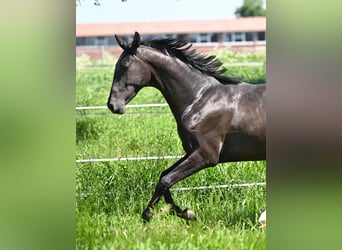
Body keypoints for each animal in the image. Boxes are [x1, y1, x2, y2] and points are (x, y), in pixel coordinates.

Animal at [107, 32, 268, 222]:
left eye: (124, 66)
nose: (112, 105)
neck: (199, 98)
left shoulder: (206, 156)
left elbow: (165, 181)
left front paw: (150, 214)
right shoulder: (191, 151)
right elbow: (164, 176)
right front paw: (183, 212)